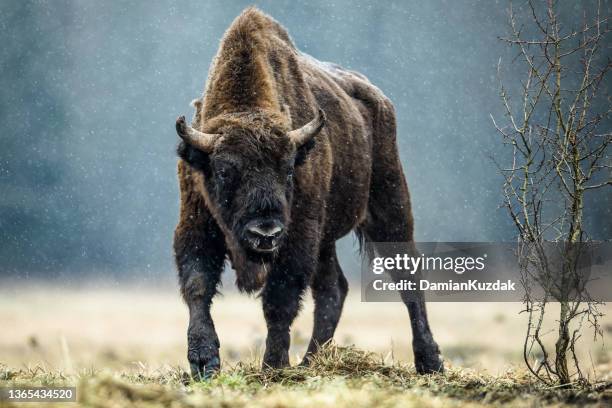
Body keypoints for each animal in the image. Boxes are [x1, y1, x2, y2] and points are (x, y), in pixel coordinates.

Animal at [175, 7, 442, 380]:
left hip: (390, 207)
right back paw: (312, 361)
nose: (265, 232)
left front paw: (273, 365)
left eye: (289, 169)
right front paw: (203, 362)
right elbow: (198, 285)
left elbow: (280, 300)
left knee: (409, 279)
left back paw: (430, 362)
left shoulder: (298, 235)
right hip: (327, 240)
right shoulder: (196, 223)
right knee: (334, 289)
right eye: (225, 170)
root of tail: (379, 100)